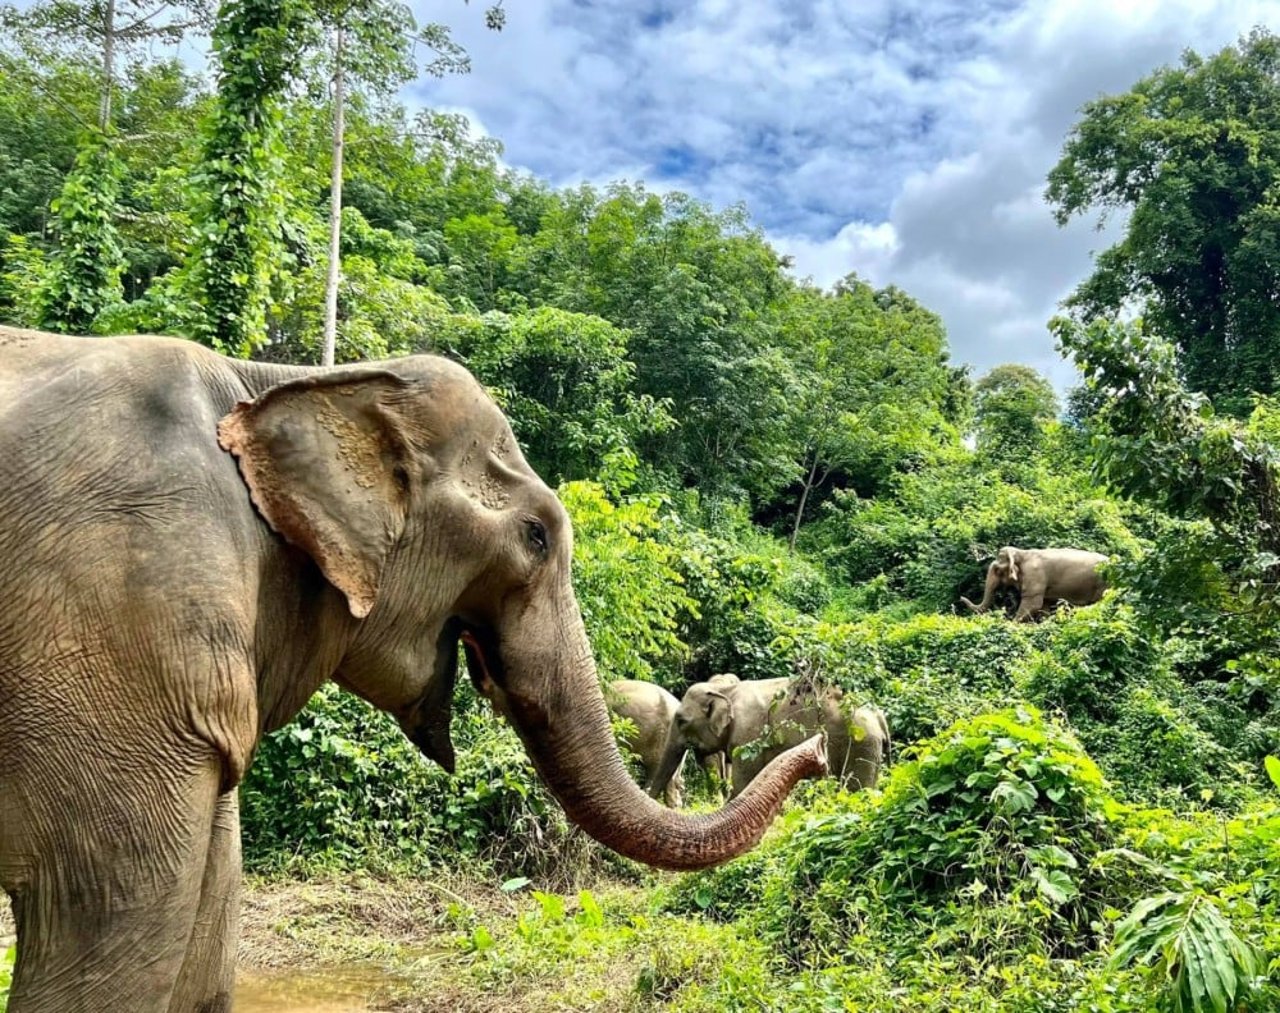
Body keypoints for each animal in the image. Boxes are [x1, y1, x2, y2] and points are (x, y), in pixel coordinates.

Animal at [650, 676, 890, 804]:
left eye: (681, 720)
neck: (725, 690)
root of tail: (879, 716)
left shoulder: (748, 737)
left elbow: (744, 784)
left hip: (862, 744)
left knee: (858, 789)